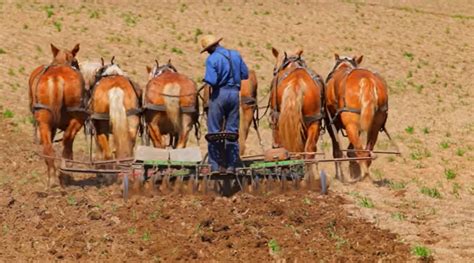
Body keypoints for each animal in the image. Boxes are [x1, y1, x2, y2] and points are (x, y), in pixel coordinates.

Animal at [28, 43, 87, 188]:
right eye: (75, 62)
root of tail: (57, 79)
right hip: (78, 119)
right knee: (67, 142)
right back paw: (65, 174)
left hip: (44, 121)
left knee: (48, 147)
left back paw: (52, 178)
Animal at [326, 53, 388, 182]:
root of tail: (366, 80)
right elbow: (350, 149)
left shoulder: (332, 124)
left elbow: (337, 150)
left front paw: (339, 176)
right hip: (375, 125)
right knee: (367, 150)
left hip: (351, 124)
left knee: (360, 150)